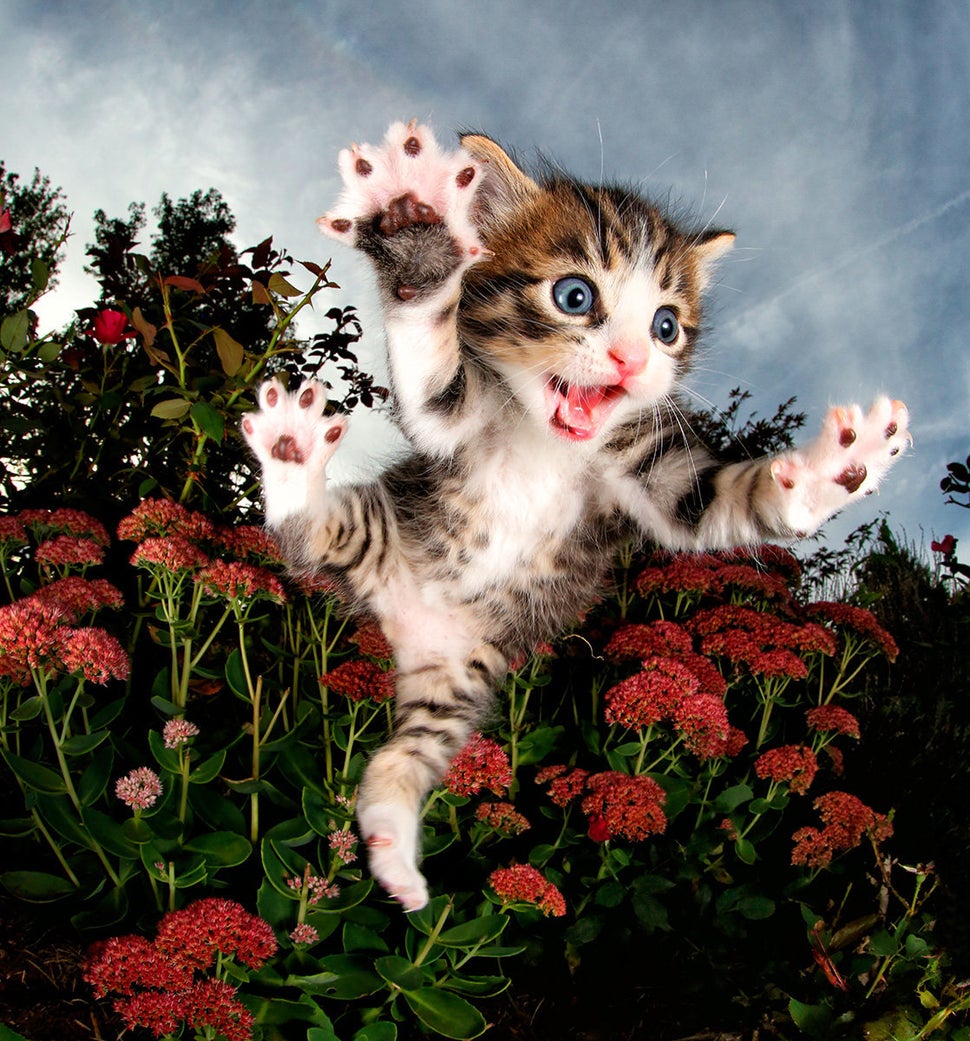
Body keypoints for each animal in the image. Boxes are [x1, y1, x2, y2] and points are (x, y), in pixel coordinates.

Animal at [242, 121, 907, 907]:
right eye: (574, 294)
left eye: (666, 326)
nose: (630, 360)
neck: (551, 444)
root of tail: (405, 623)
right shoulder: (457, 419)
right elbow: (431, 381)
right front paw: (421, 241)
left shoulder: (649, 472)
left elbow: (710, 504)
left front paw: (836, 472)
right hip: (375, 530)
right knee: (301, 532)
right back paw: (290, 457)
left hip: (463, 675)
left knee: (411, 753)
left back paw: (393, 844)